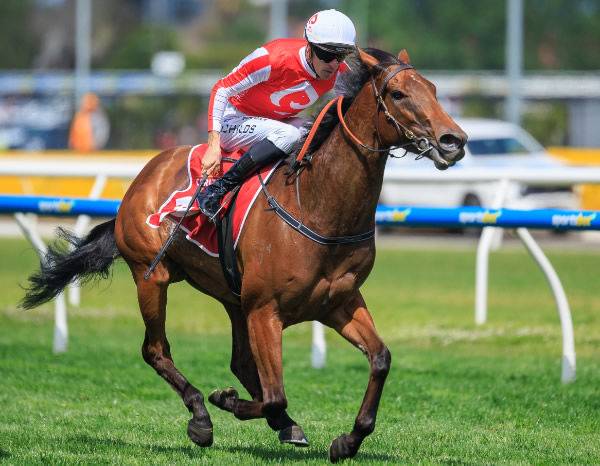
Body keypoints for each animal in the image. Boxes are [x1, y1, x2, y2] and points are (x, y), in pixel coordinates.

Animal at [22, 48, 464, 462]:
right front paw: (226, 401)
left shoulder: (337, 302)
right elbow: (274, 395)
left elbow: (379, 359)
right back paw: (202, 416)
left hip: (234, 298)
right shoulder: (266, 310)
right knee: (156, 350)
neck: (318, 204)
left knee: (240, 363)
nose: (453, 141)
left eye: (434, 89)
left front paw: (347, 441)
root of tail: (146, 172)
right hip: (154, 275)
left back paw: (280, 423)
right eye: (398, 93)